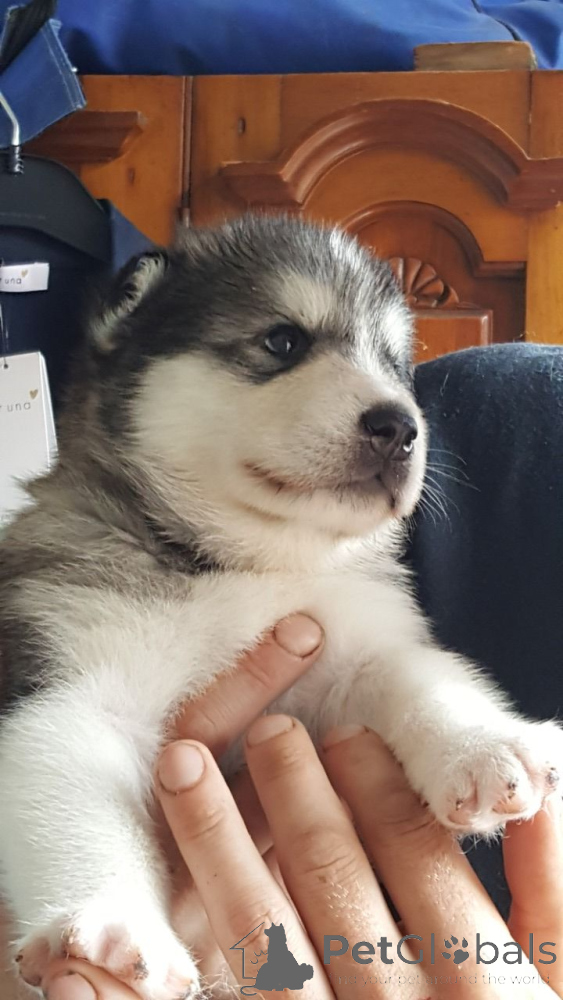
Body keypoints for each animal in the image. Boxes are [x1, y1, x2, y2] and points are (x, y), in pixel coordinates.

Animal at [0, 215, 561, 999]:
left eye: (394, 365)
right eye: (283, 341)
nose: (400, 426)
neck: (248, 562)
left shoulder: (359, 648)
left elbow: (423, 681)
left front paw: (483, 746)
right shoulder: (72, 681)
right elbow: (76, 799)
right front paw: (113, 923)